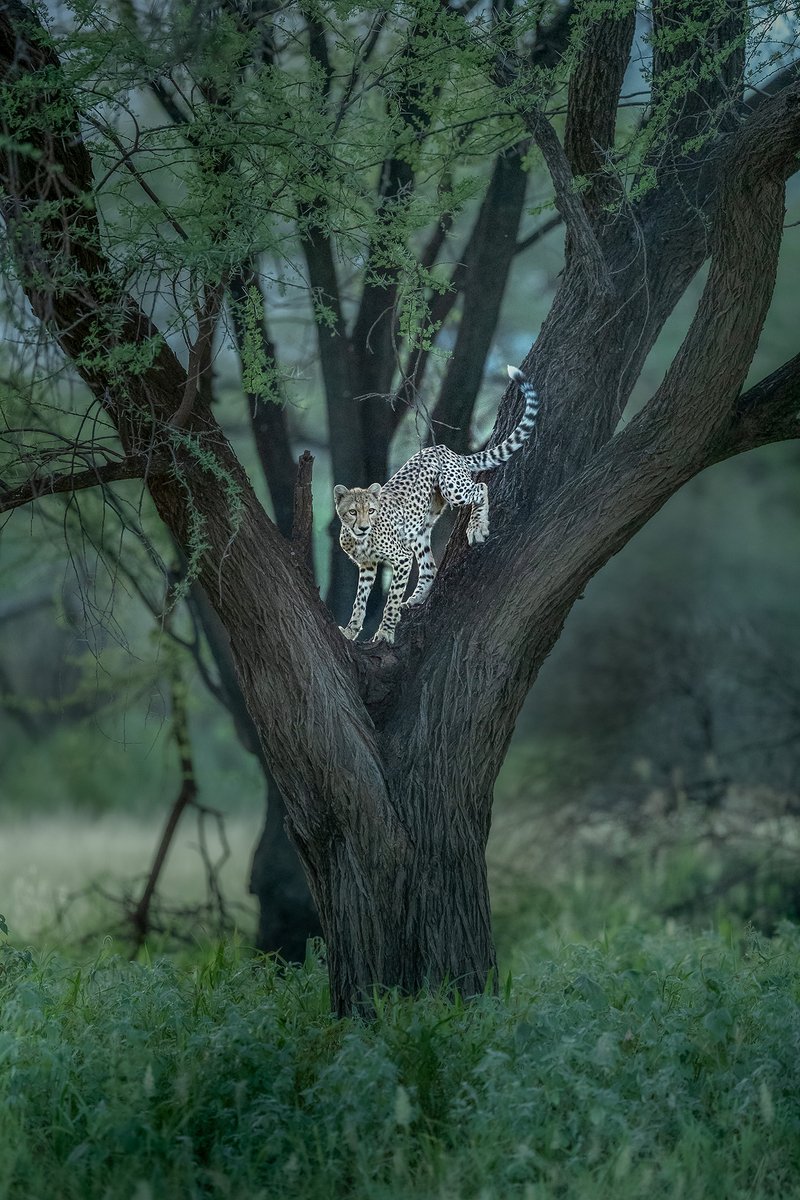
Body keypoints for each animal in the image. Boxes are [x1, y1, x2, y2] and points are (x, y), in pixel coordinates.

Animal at [331, 364, 537, 648]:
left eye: (370, 511)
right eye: (353, 512)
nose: (362, 527)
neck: (360, 538)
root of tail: (446, 449)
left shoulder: (401, 558)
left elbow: (391, 599)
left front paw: (385, 632)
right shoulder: (367, 566)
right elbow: (359, 601)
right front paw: (351, 631)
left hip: (452, 488)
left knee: (480, 489)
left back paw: (477, 527)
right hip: (419, 529)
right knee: (429, 567)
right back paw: (417, 597)